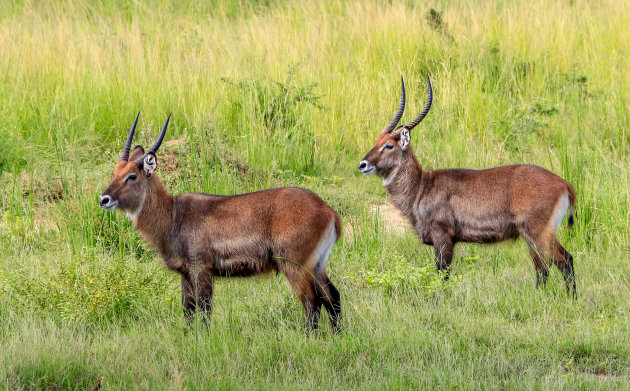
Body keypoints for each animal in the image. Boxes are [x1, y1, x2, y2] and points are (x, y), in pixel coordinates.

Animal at [99, 114, 344, 334]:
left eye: (132, 176)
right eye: (115, 172)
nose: (104, 199)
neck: (173, 215)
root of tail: (328, 210)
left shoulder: (202, 268)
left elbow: (204, 308)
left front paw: (204, 340)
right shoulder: (185, 272)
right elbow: (188, 309)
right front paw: (188, 337)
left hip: (295, 264)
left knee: (312, 302)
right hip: (317, 264)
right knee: (332, 296)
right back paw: (337, 335)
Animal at [360, 75, 576, 298]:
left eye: (389, 145)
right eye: (376, 141)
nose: (362, 164)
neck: (421, 187)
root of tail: (563, 183)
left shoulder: (443, 236)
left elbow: (442, 275)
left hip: (539, 232)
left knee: (564, 260)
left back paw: (571, 299)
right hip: (531, 237)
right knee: (543, 268)